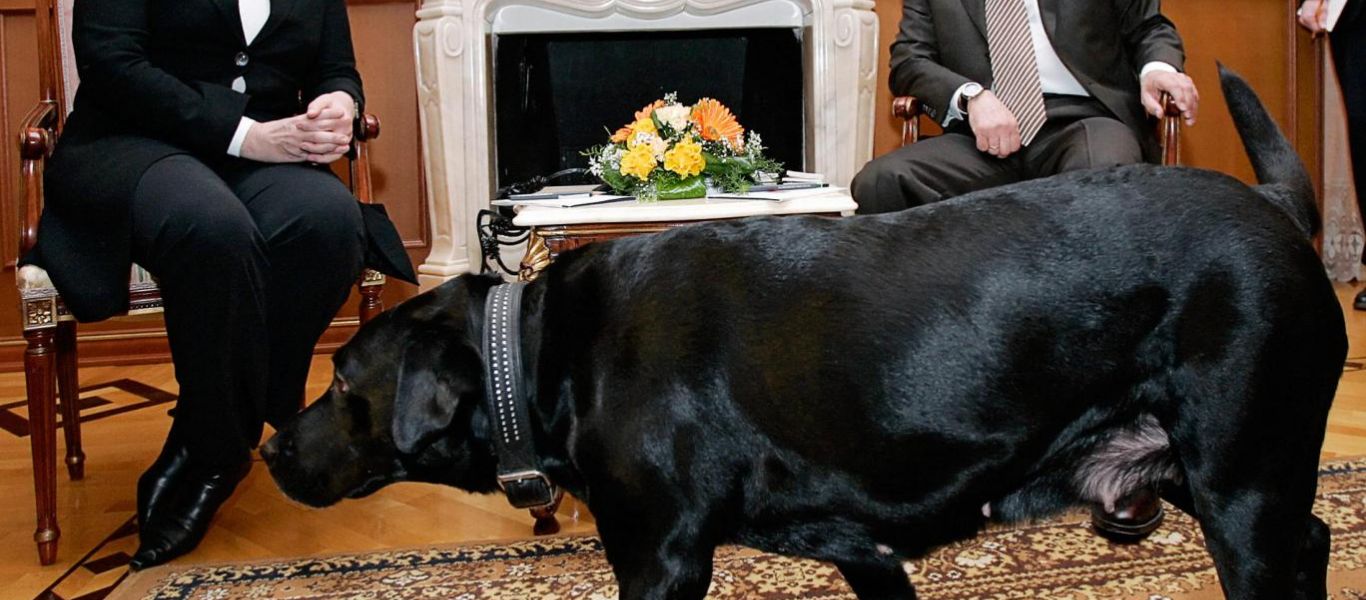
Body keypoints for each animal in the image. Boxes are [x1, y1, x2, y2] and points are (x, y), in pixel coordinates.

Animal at [262, 66, 1345, 599]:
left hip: (1240, 485)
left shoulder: (660, 560)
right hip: (1227, 481)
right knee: (1317, 536)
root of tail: (1277, 209)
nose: (271, 448)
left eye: (343, 385)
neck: (540, 350)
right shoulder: (860, 551)